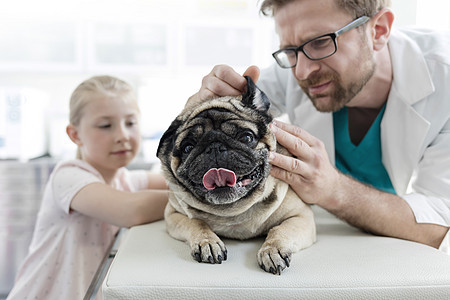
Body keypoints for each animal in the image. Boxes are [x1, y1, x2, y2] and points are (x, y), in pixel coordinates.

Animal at [156, 77, 314, 274]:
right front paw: (207, 242)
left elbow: (279, 230)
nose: (214, 147)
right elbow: (196, 223)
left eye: (246, 137)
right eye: (187, 148)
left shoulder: (301, 217)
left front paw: (272, 250)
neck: (233, 210)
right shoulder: (173, 215)